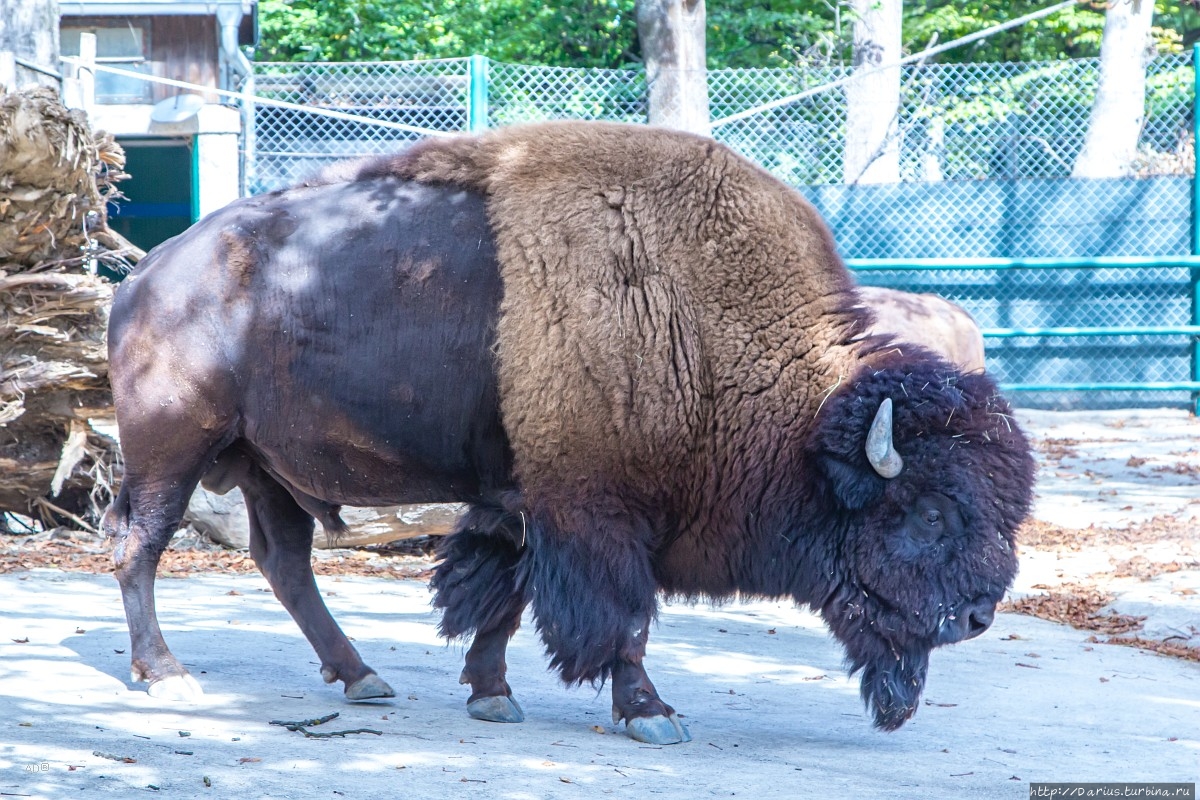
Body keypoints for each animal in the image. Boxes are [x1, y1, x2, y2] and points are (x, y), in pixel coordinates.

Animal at [103, 122, 1036, 748]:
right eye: (929, 513)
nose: (978, 614)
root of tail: (147, 275)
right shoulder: (595, 514)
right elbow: (620, 616)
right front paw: (652, 715)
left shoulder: (523, 501)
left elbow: (501, 597)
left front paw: (491, 694)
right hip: (170, 448)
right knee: (140, 546)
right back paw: (168, 676)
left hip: (263, 464)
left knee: (283, 561)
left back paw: (364, 677)